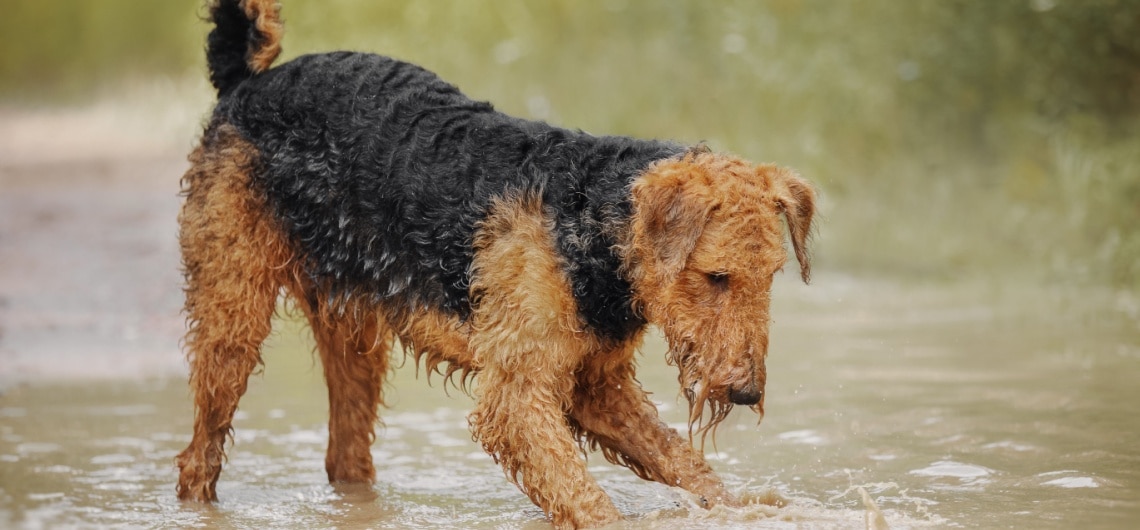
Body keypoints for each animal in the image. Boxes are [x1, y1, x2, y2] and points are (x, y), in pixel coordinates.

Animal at [175, 2, 811, 526]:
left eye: (771, 277)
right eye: (715, 277)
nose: (747, 393)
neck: (591, 226)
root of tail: (247, 82)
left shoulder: (597, 386)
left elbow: (683, 463)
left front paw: (749, 509)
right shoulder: (517, 396)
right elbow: (586, 497)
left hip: (353, 335)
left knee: (345, 458)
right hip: (233, 316)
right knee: (197, 458)